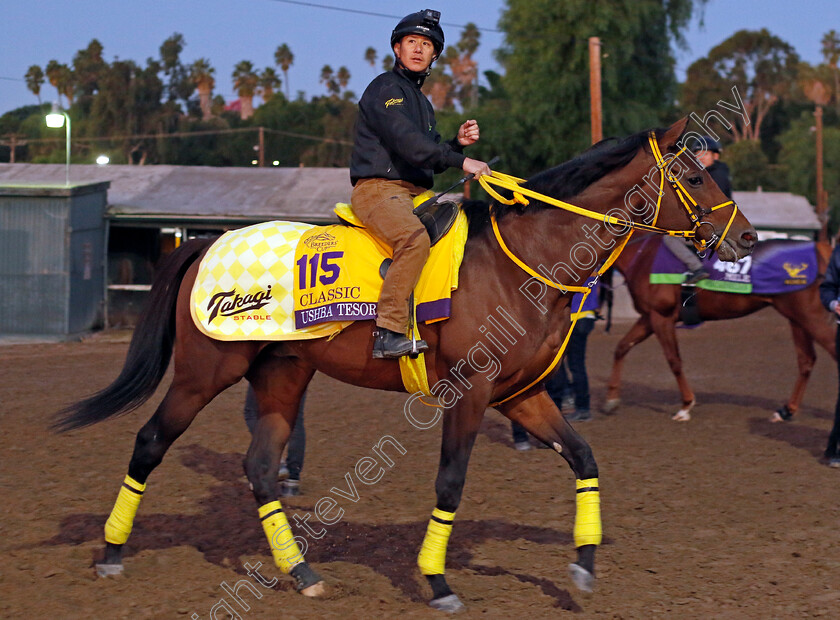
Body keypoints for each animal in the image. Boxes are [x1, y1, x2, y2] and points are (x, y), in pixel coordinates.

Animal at [55, 118, 756, 612]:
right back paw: (111, 553)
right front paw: (438, 581)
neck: (521, 260)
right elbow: (450, 483)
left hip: (283, 374)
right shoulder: (470, 392)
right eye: (696, 176)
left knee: (259, 467)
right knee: (150, 441)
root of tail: (203, 242)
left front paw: (583, 564)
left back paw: (302, 573)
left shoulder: (519, 394)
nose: (747, 237)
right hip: (206, 372)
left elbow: (584, 458)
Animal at [604, 232, 832, 422]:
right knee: (806, 361)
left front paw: (686, 405)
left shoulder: (661, 317)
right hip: (797, 318)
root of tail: (821, 249)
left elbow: (674, 360)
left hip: (811, 316)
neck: (643, 254)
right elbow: (621, 347)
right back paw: (786, 411)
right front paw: (611, 400)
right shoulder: (649, 317)